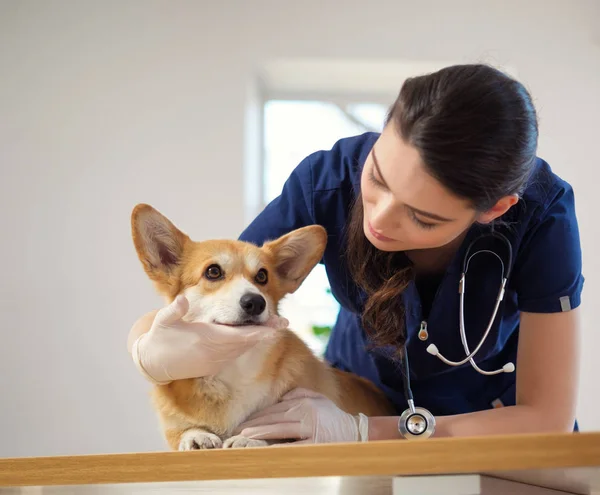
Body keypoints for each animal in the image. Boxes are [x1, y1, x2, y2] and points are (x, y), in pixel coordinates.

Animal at [130, 203, 394, 452]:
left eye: (262, 276)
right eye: (213, 271)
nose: (255, 302)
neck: (233, 370)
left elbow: (278, 433)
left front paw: (249, 439)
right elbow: (183, 431)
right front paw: (195, 436)